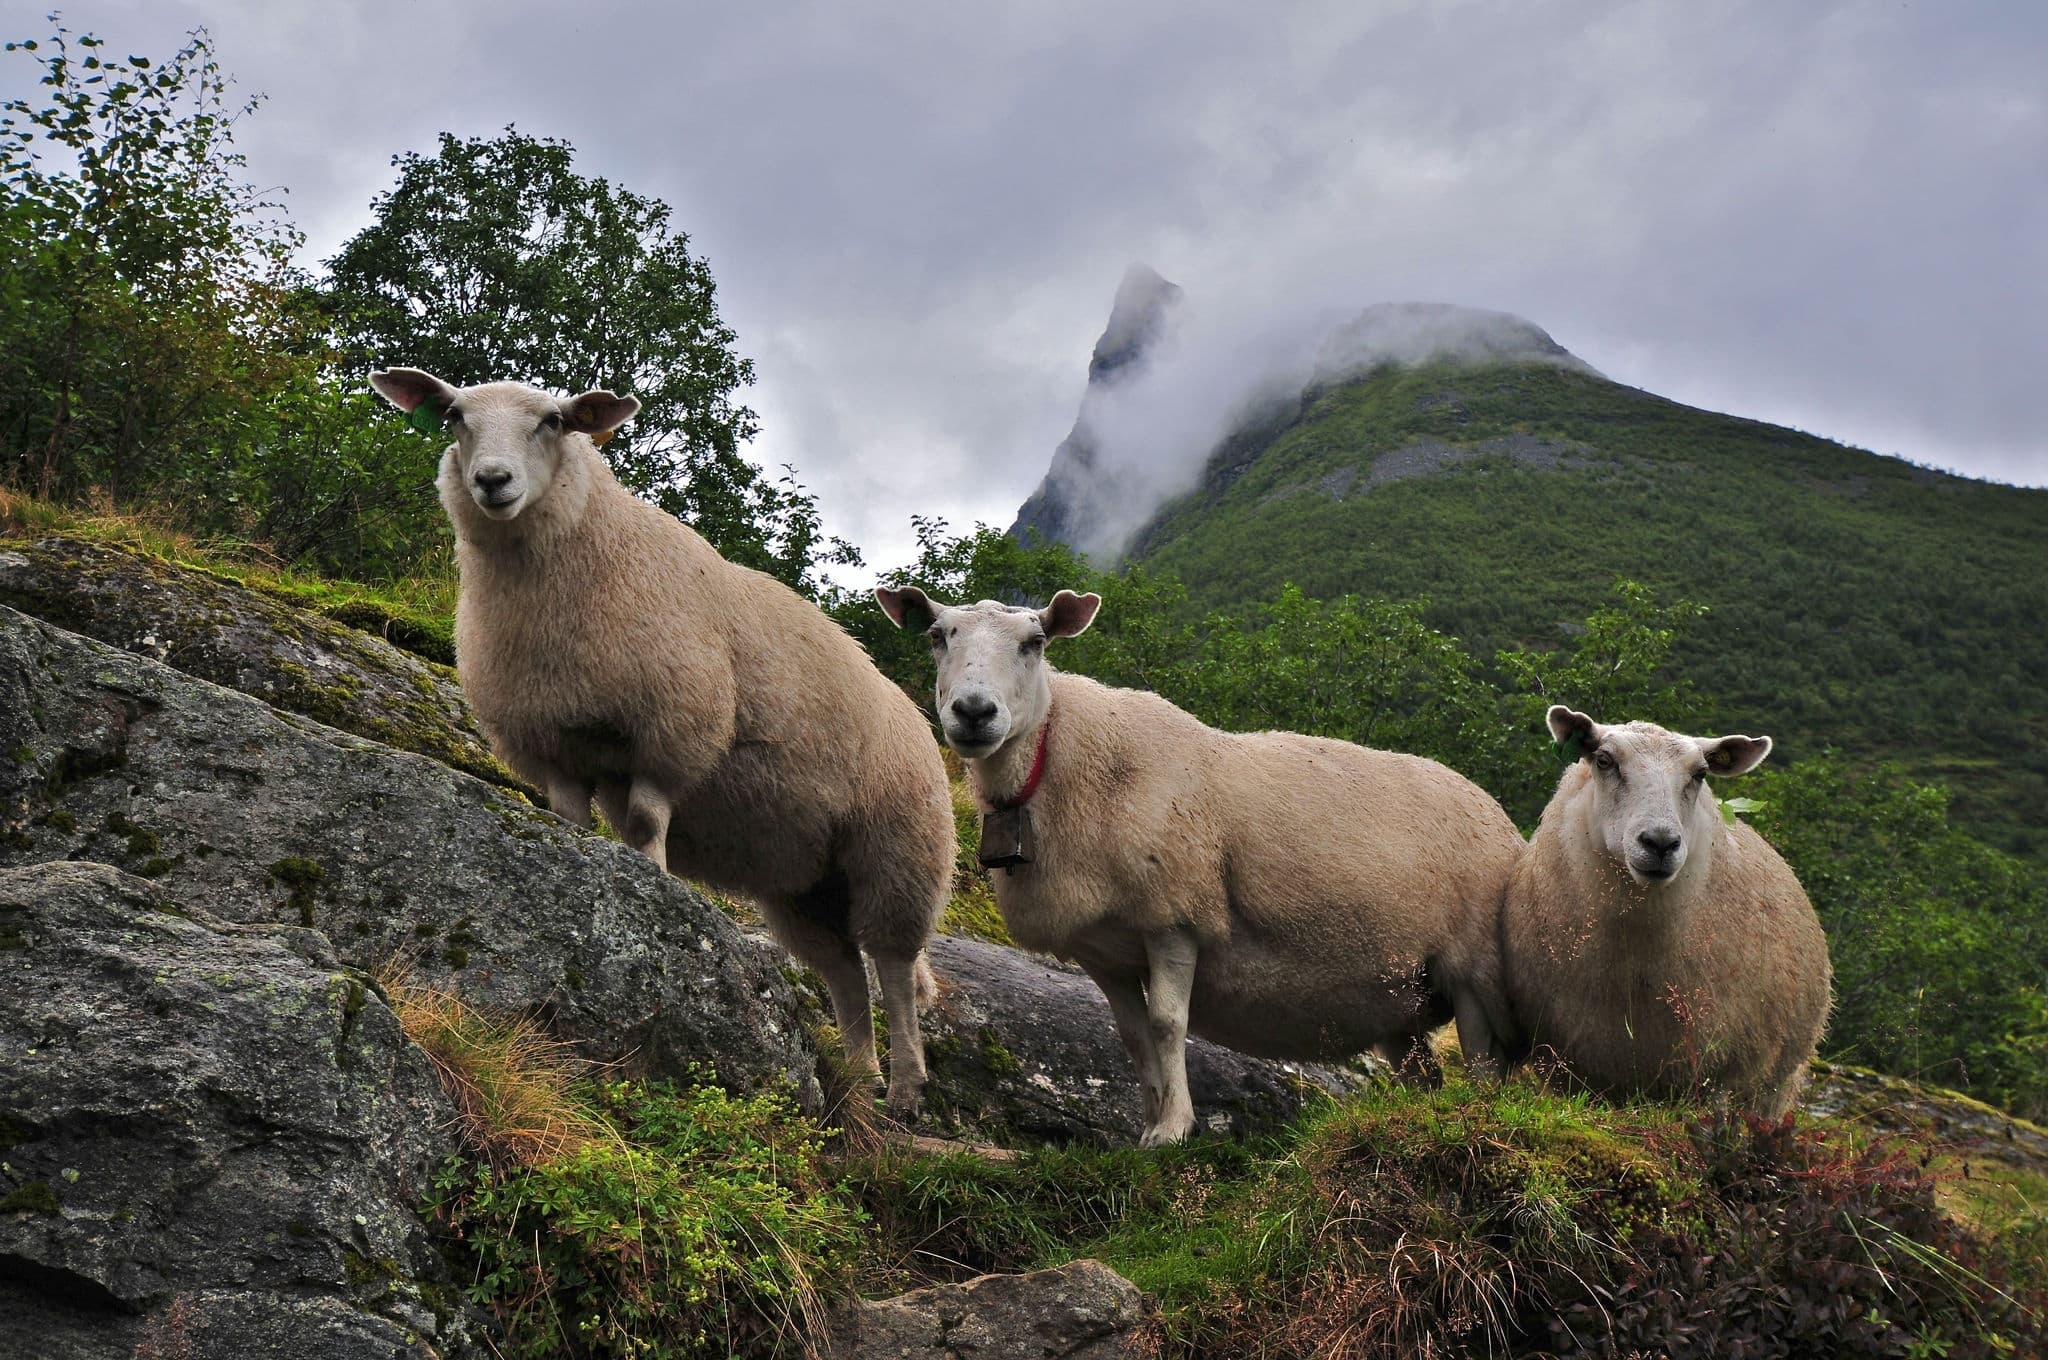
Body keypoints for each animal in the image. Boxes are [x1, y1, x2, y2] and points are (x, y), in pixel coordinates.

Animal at [368, 367, 954, 1116]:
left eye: (553, 422)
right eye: (454, 417)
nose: (492, 481)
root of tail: (917, 716)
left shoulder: (670, 732)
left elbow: (647, 823)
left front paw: (657, 893)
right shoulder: (555, 744)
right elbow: (571, 822)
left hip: (900, 849)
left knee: (895, 968)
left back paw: (906, 1088)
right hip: (805, 877)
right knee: (845, 970)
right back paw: (860, 1079)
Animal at [875, 585, 1524, 1145]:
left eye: (1034, 642)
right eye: (937, 635)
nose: (974, 712)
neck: (1056, 763)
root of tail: (1496, 810)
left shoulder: (1175, 916)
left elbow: (1168, 1023)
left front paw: (1174, 1128)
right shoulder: (1102, 947)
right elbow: (1133, 1037)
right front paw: (1146, 1125)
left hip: (1472, 966)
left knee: (1483, 1061)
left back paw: (1477, 1112)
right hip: (1401, 998)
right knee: (1425, 1074)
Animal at [1500, 706, 1831, 1117]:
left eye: (1700, 774)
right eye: (1604, 760)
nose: (1660, 843)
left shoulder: (1722, 1075)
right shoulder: (1568, 1068)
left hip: (1774, 1084)